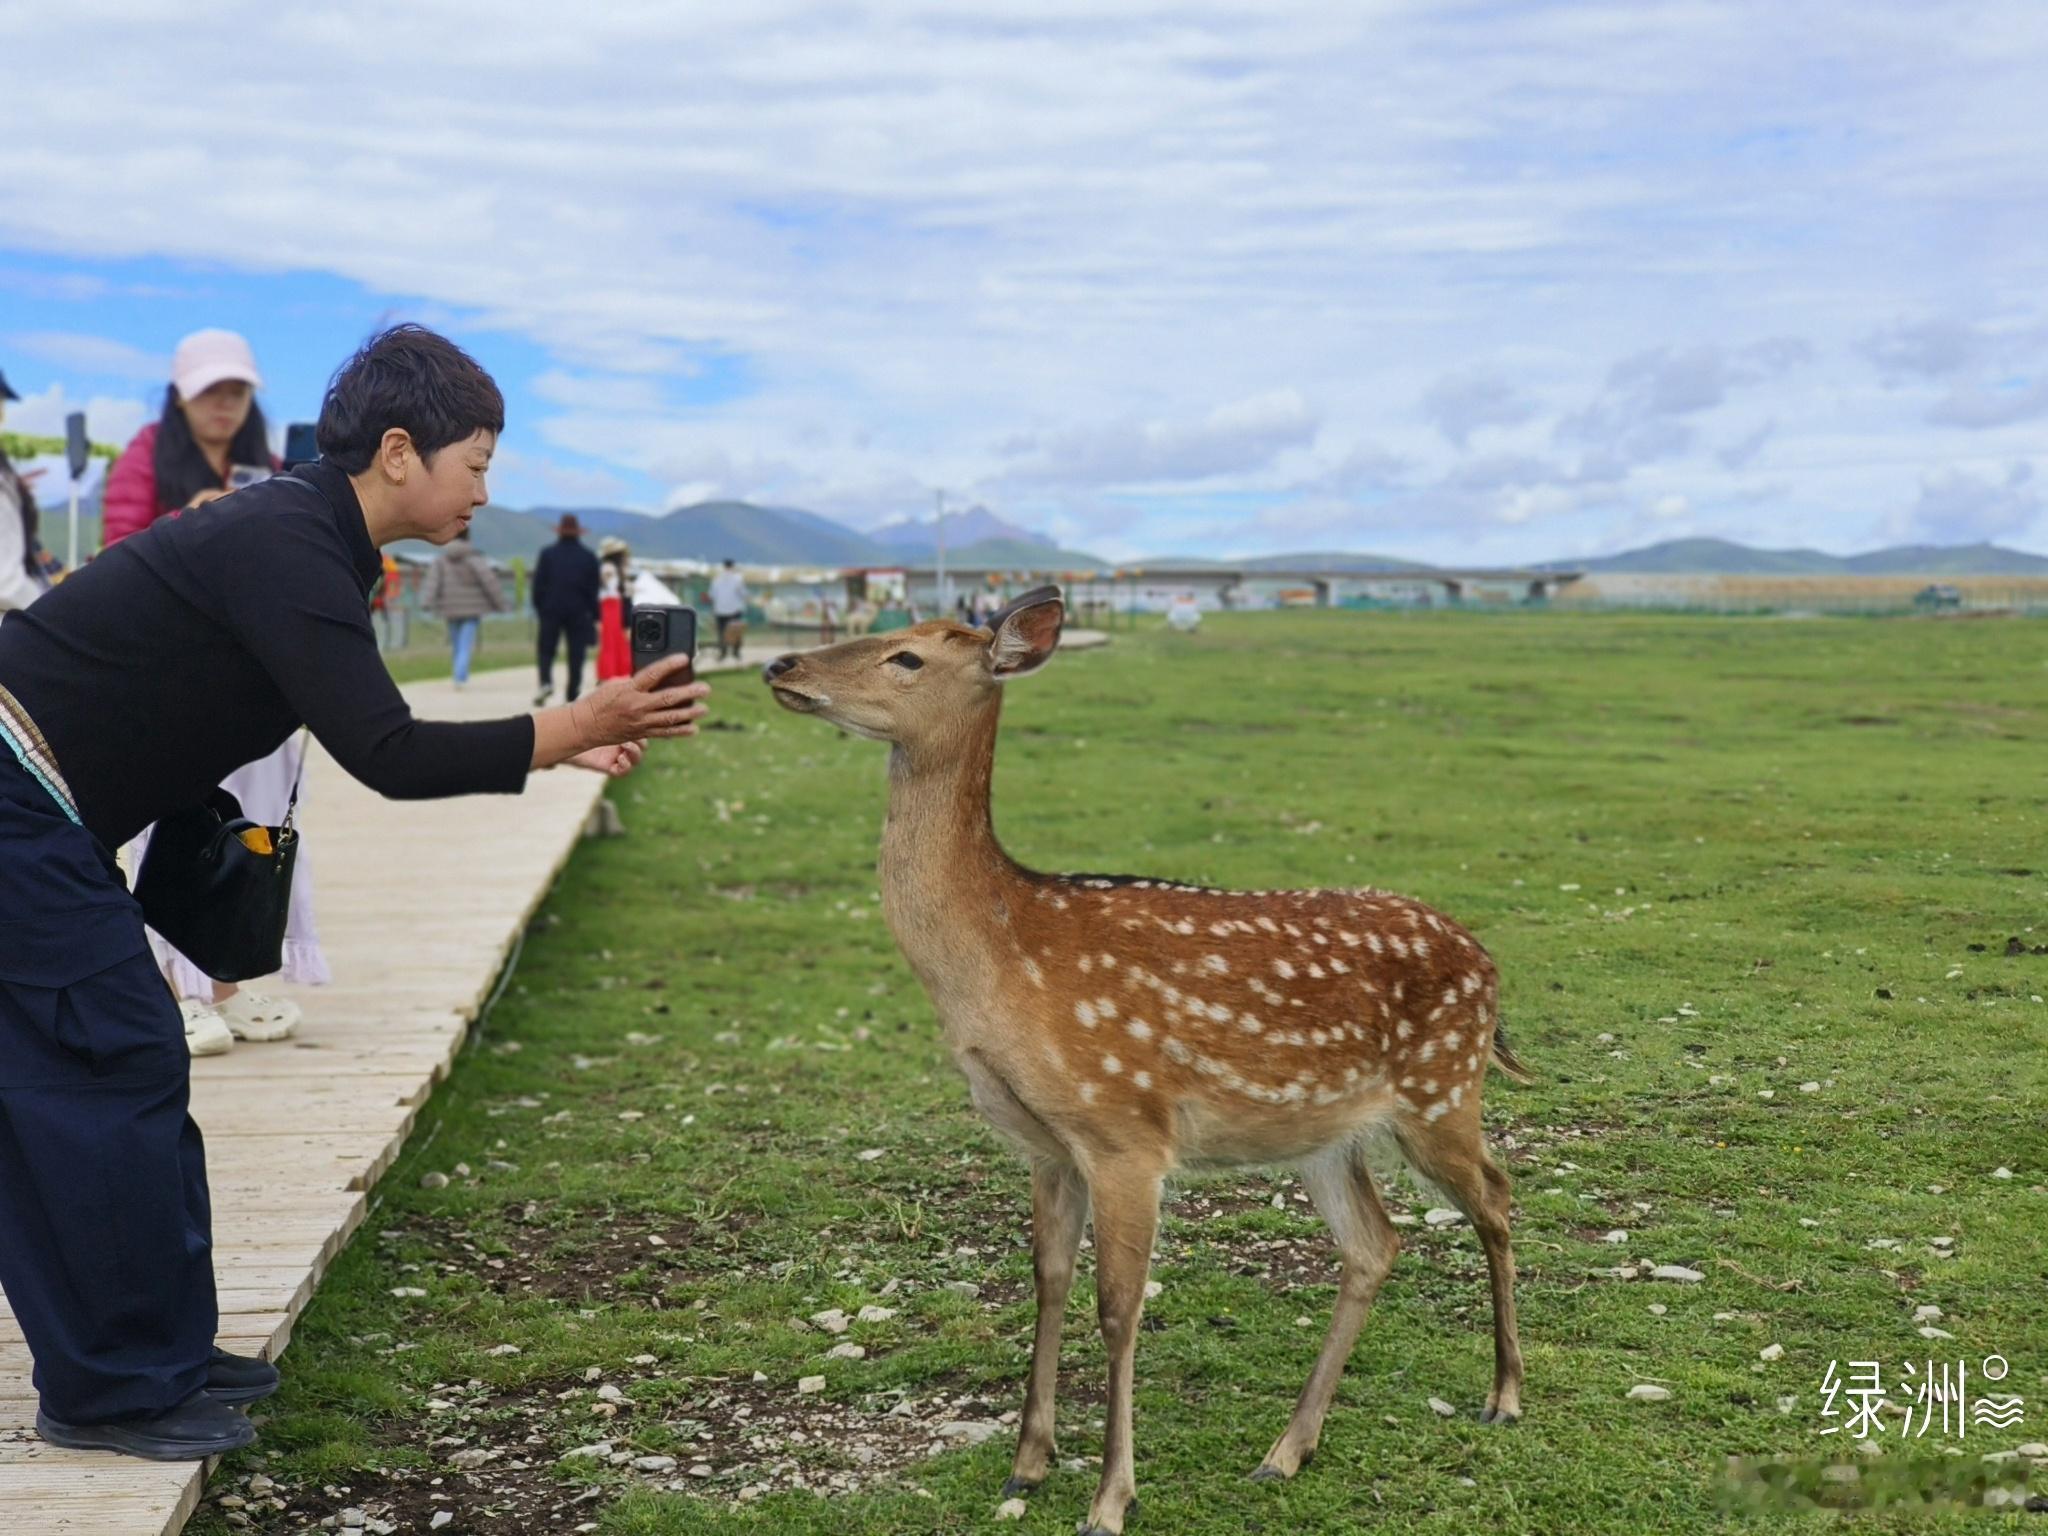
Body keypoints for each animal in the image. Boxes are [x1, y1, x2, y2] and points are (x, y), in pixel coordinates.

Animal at [762, 587, 1528, 1536]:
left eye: (908, 656)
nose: (779, 664)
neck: (999, 960)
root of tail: (1488, 962)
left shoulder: (1125, 1131)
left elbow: (1118, 1308)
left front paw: (1109, 1498)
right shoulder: (1046, 1144)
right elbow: (1049, 1280)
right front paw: (1028, 1464)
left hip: (1441, 1089)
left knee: (1495, 1194)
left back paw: (1503, 1396)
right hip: (1328, 1133)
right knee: (1375, 1243)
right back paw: (1286, 1450)